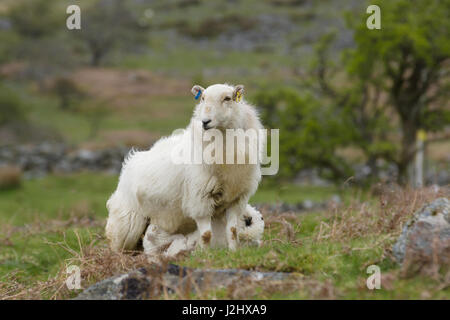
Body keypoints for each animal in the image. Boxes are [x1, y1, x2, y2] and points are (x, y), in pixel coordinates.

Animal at [106, 83, 266, 252]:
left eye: (227, 98)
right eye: (202, 98)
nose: (205, 122)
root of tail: (132, 159)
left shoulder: (236, 200)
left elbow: (233, 230)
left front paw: (233, 251)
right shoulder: (199, 199)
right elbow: (206, 234)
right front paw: (205, 253)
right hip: (128, 222)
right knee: (118, 243)